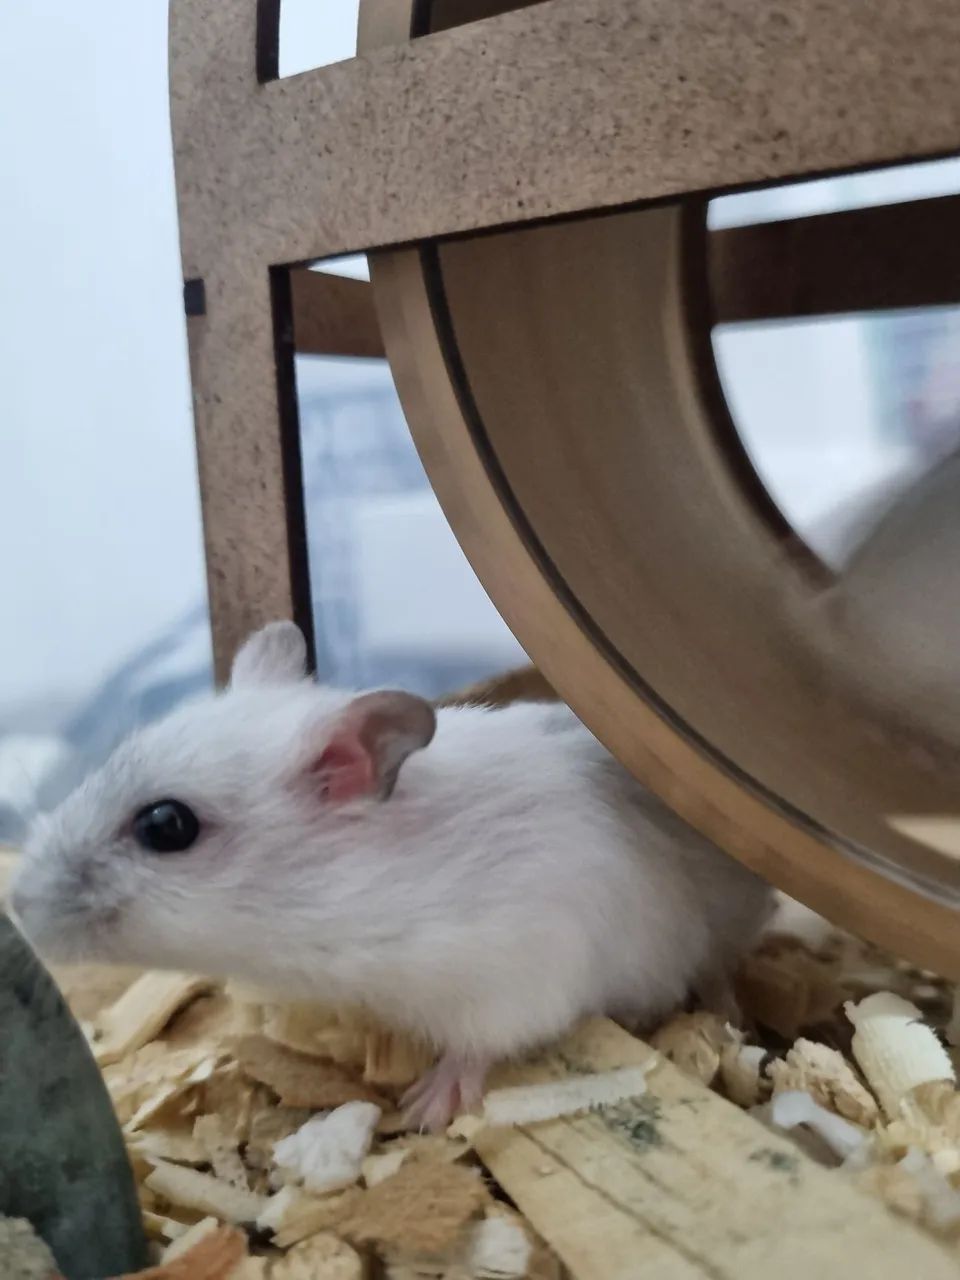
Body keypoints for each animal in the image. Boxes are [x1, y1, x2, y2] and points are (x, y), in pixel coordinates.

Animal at [12, 621, 773, 1130]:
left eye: (166, 826)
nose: (18, 903)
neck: (354, 892)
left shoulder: (512, 977)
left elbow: (475, 1050)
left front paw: (421, 1111)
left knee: (719, 966)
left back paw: (728, 1019)